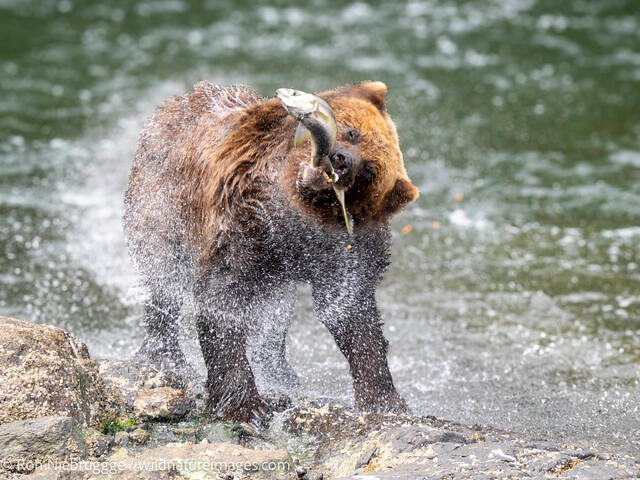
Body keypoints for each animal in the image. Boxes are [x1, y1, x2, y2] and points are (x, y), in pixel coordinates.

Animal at [123, 81, 419, 422]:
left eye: (369, 170)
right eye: (351, 132)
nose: (342, 159)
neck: (295, 209)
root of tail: (176, 102)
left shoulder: (344, 249)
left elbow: (349, 311)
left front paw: (384, 399)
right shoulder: (246, 220)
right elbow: (223, 296)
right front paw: (243, 405)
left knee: (274, 314)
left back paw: (279, 371)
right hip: (164, 201)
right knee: (164, 278)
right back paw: (165, 355)